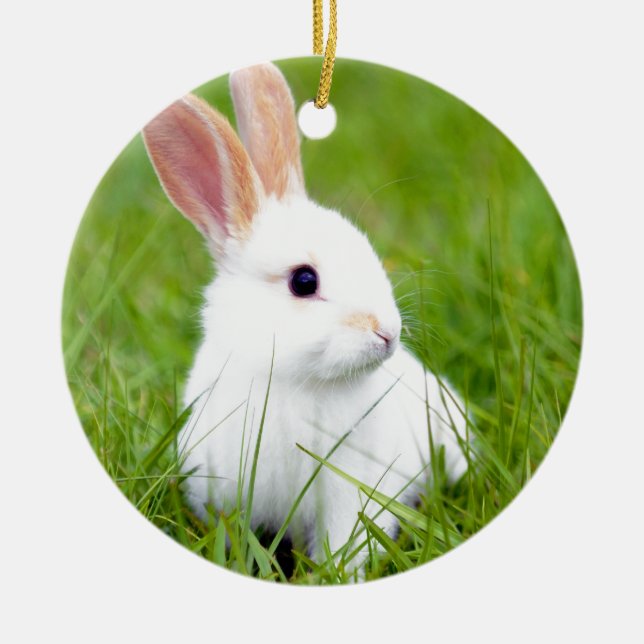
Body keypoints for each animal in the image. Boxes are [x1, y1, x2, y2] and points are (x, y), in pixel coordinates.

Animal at [142, 62, 469, 569]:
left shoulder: (349, 492)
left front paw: (340, 573)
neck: (292, 380)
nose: (387, 333)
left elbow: (345, 540)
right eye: (303, 281)